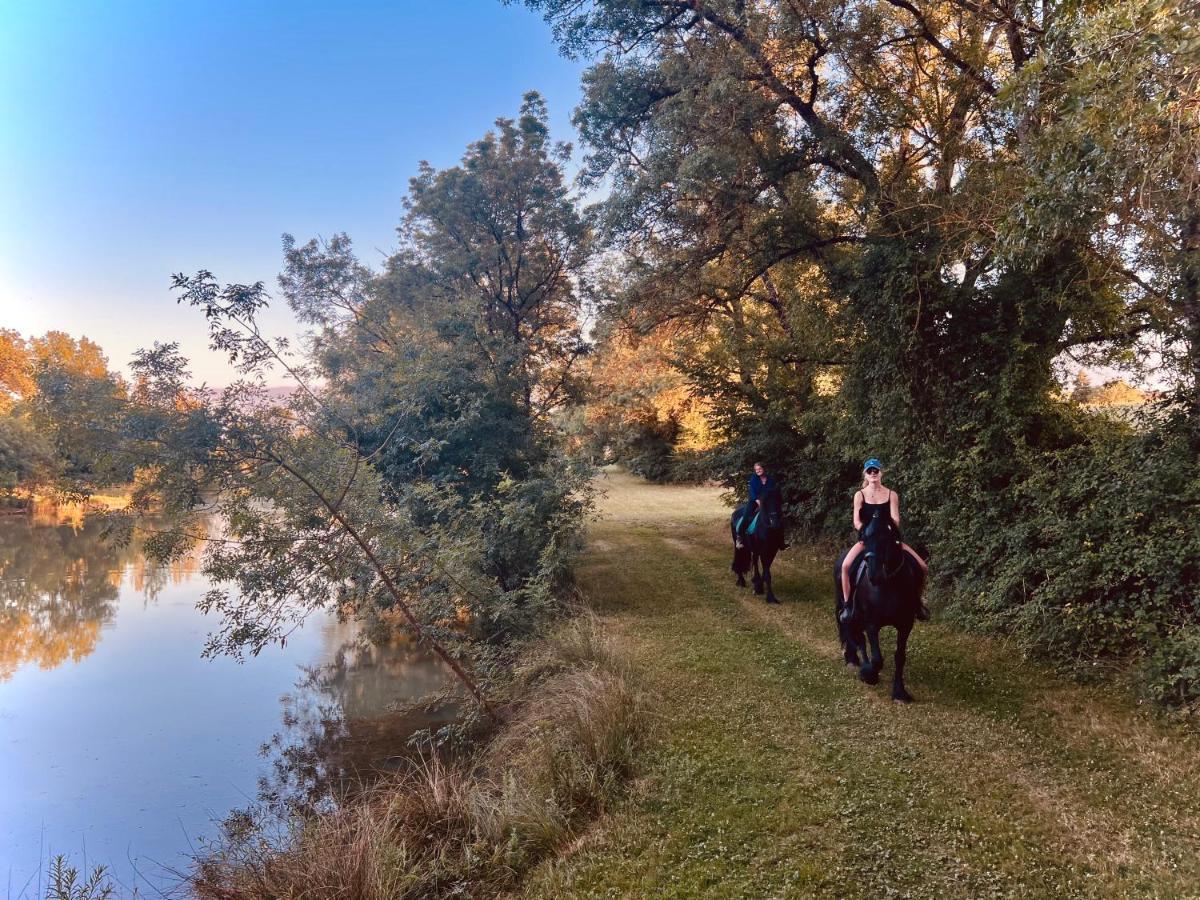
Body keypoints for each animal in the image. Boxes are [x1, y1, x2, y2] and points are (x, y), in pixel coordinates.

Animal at [840, 508, 921, 705]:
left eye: (887, 537)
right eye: (865, 538)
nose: (874, 574)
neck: (888, 585)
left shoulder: (905, 625)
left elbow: (900, 657)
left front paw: (900, 692)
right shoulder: (872, 624)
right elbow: (877, 659)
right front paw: (869, 675)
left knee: (857, 637)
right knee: (853, 632)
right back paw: (855, 661)